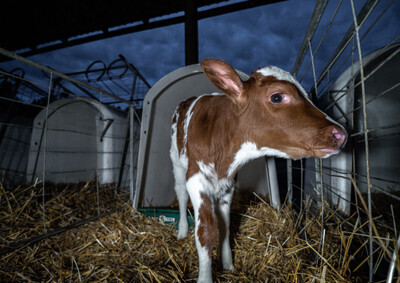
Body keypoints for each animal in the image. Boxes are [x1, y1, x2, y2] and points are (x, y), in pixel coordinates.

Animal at [169, 58, 346, 282]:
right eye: (277, 96)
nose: (341, 134)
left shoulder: (229, 185)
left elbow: (225, 224)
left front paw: (228, 265)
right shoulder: (196, 179)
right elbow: (206, 231)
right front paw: (205, 277)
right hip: (176, 162)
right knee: (180, 194)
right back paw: (182, 231)